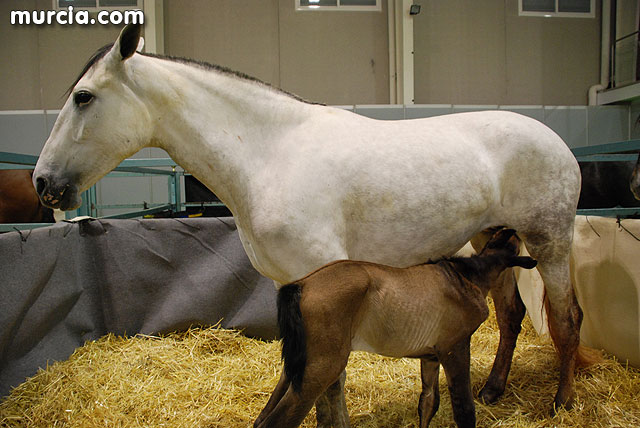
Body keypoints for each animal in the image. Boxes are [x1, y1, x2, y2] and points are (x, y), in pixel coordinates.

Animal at [32, 25, 588, 426]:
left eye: (83, 97)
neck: (270, 152)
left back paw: (563, 402)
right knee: (513, 315)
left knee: (567, 319)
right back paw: (493, 389)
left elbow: (330, 383)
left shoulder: (324, 283)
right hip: (494, 239)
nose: (43, 183)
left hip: (550, 245)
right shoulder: (293, 286)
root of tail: (556, 141)